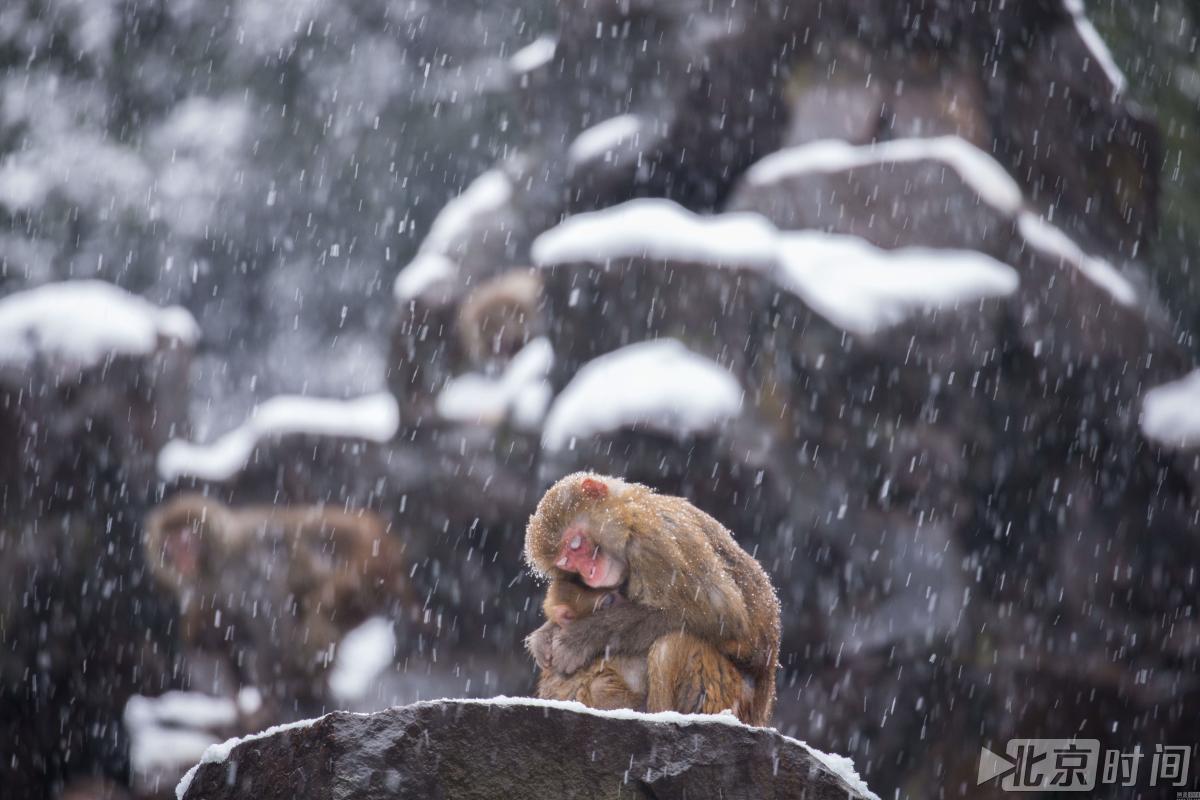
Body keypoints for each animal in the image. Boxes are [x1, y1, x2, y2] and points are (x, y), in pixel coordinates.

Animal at [143, 494, 408, 714]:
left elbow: (271, 628)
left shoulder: (253, 566)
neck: (216, 564)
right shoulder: (201, 588)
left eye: (185, 540)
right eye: (170, 544)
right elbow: (209, 634)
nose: (181, 559)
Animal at [525, 470, 777, 724]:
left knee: (671, 645)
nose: (589, 573)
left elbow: (723, 615)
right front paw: (545, 635)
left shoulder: (654, 543)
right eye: (568, 563)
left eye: (576, 545)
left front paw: (580, 639)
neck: (630, 518)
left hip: (729, 695)